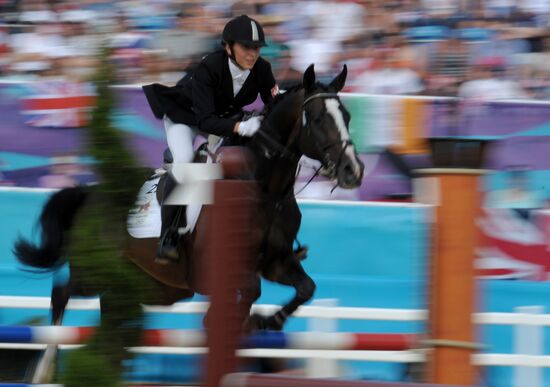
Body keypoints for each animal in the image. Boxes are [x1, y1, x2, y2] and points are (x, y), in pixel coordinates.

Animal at [12, 63, 364, 382]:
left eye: (347, 117)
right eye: (317, 119)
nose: (353, 171)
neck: (266, 190)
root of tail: (91, 194)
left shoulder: (277, 261)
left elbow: (306, 288)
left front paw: (267, 322)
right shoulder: (217, 268)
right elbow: (250, 289)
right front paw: (242, 323)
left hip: (152, 286)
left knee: (113, 321)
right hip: (95, 273)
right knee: (62, 292)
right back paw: (45, 369)